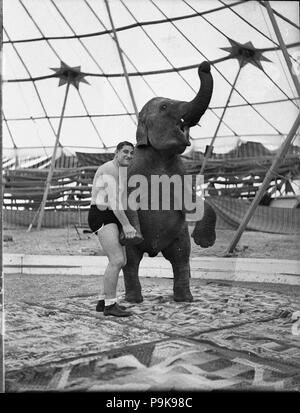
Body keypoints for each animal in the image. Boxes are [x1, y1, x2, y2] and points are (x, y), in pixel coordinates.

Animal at [120, 62, 217, 304]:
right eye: (164, 107)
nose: (205, 65)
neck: (161, 157)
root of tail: (154, 250)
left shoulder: (181, 172)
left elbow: (191, 201)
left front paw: (204, 242)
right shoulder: (132, 171)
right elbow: (128, 201)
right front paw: (135, 236)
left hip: (179, 236)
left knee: (181, 259)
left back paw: (185, 299)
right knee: (132, 261)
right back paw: (134, 300)